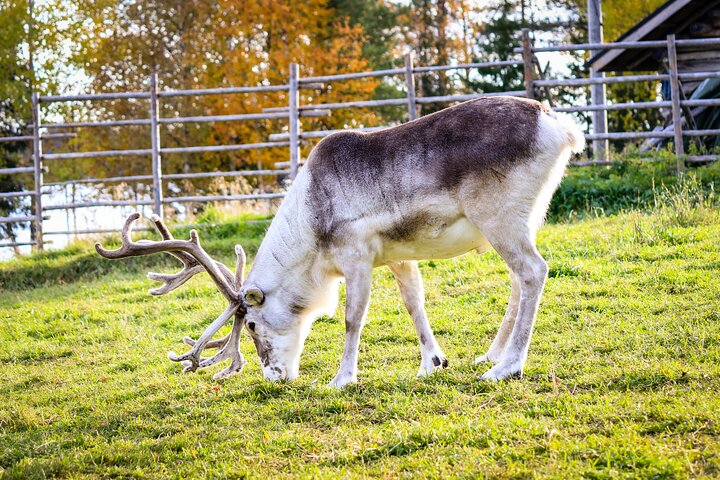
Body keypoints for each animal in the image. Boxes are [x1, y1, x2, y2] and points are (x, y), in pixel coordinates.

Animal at [96, 96, 585, 387]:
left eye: (250, 324)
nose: (275, 377)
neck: (312, 230)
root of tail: (561, 127)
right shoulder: (397, 255)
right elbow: (415, 303)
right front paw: (432, 363)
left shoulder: (356, 256)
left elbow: (352, 318)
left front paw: (342, 378)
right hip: (525, 218)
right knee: (518, 279)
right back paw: (489, 355)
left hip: (500, 218)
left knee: (533, 271)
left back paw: (507, 366)